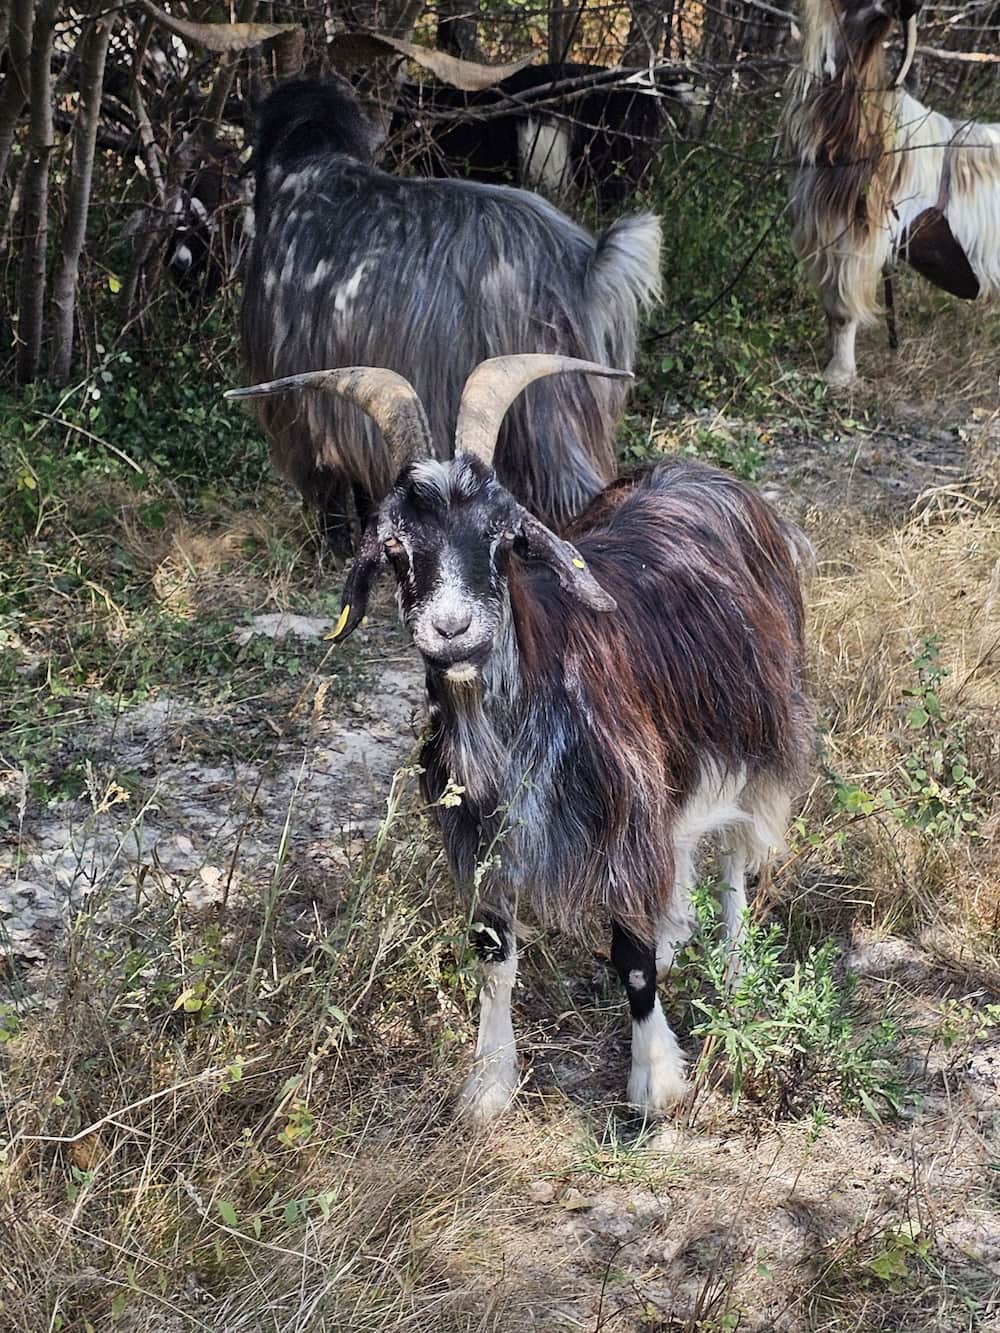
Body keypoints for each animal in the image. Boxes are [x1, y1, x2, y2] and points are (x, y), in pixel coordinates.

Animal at [227, 354, 814, 1120]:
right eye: (395, 545)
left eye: (505, 536)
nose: (451, 629)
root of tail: (706, 475)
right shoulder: (480, 836)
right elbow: (492, 954)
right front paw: (489, 1082)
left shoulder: (624, 820)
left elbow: (630, 957)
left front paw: (654, 1079)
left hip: (762, 732)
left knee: (738, 858)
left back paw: (736, 971)